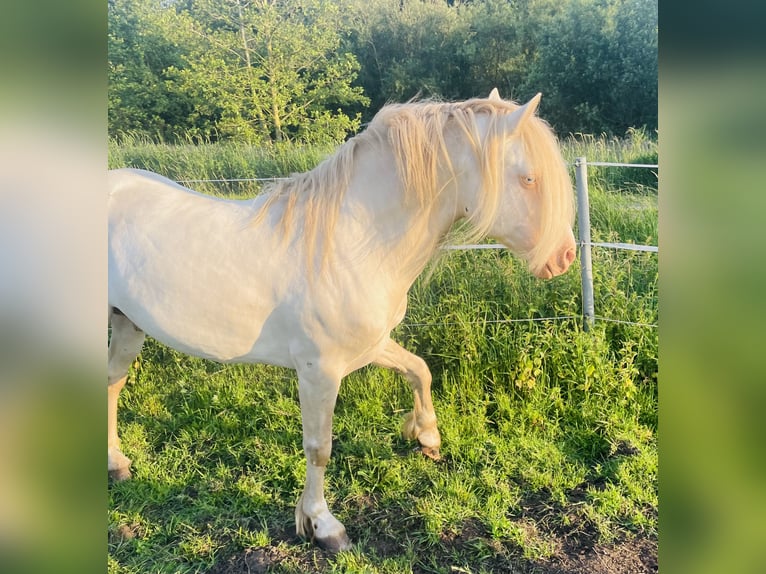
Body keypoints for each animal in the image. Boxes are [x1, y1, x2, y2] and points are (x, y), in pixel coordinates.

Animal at [106, 91, 576, 552]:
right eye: (529, 179)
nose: (565, 257)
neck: (352, 244)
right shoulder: (320, 371)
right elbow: (319, 448)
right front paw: (323, 525)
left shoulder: (372, 346)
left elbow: (419, 371)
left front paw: (427, 438)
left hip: (127, 325)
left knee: (111, 385)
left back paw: (117, 465)